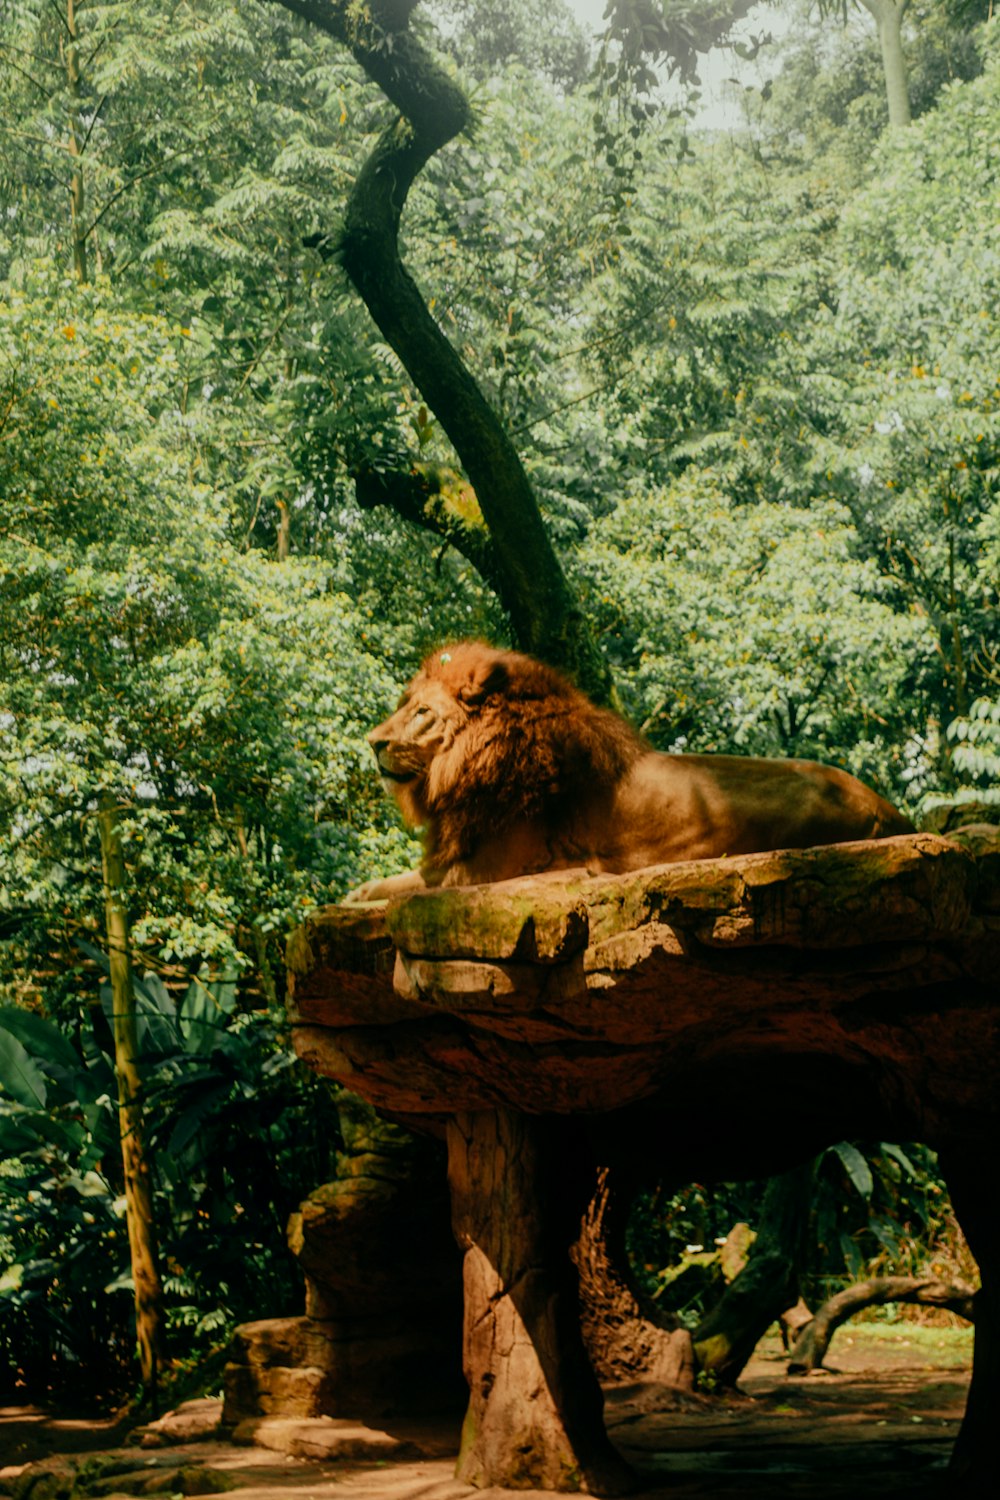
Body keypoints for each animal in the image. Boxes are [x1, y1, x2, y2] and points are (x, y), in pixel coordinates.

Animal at [350, 636, 917, 894]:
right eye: (406, 705)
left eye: (422, 713)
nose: (372, 742)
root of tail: (889, 809)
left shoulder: (484, 870)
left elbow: (395, 888)